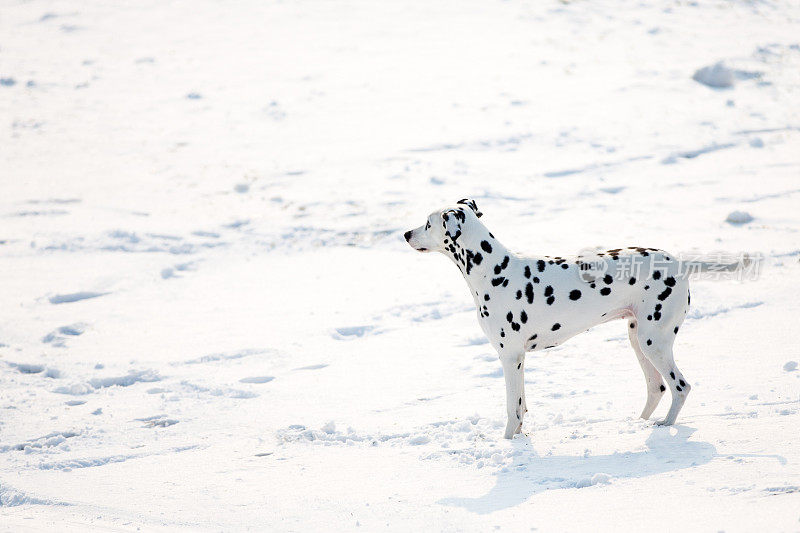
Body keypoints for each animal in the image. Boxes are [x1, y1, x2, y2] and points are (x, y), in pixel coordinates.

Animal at [406, 197, 744, 438]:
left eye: (428, 223)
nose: (406, 233)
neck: (494, 272)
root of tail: (679, 263)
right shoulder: (518, 361)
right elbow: (522, 409)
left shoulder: (510, 358)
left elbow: (513, 411)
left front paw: (507, 444)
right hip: (638, 339)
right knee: (656, 387)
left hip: (654, 342)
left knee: (680, 386)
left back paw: (665, 425)